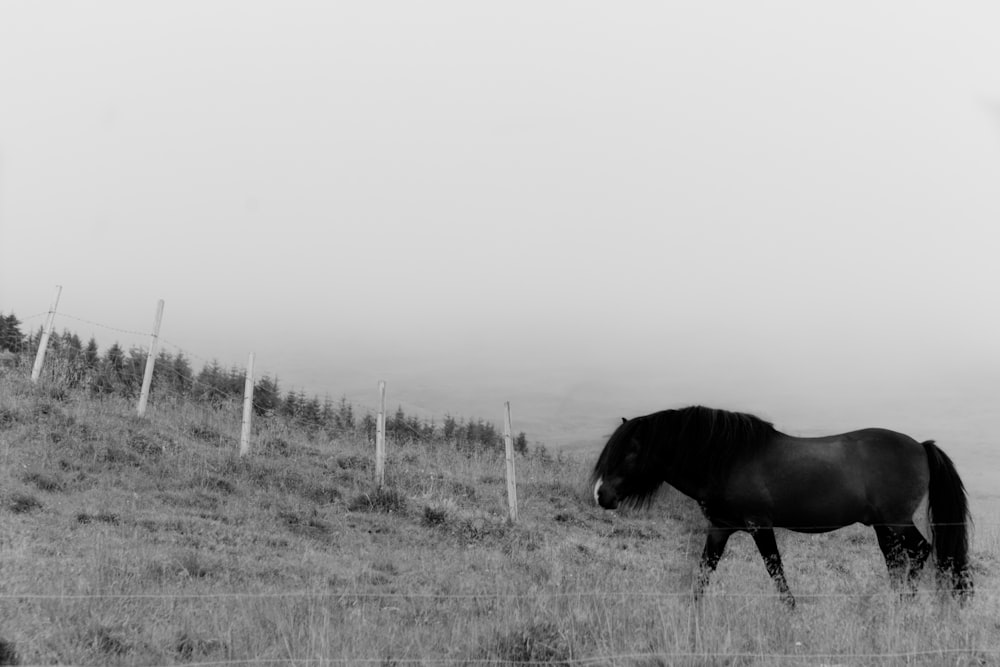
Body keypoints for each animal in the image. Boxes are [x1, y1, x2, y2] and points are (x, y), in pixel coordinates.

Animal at [588, 404, 972, 608]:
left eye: (630, 452)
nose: (601, 495)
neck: (727, 459)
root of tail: (921, 446)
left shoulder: (760, 526)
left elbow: (776, 573)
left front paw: (792, 613)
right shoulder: (720, 528)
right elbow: (702, 574)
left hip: (897, 520)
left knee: (919, 552)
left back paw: (905, 601)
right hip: (883, 525)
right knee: (896, 561)